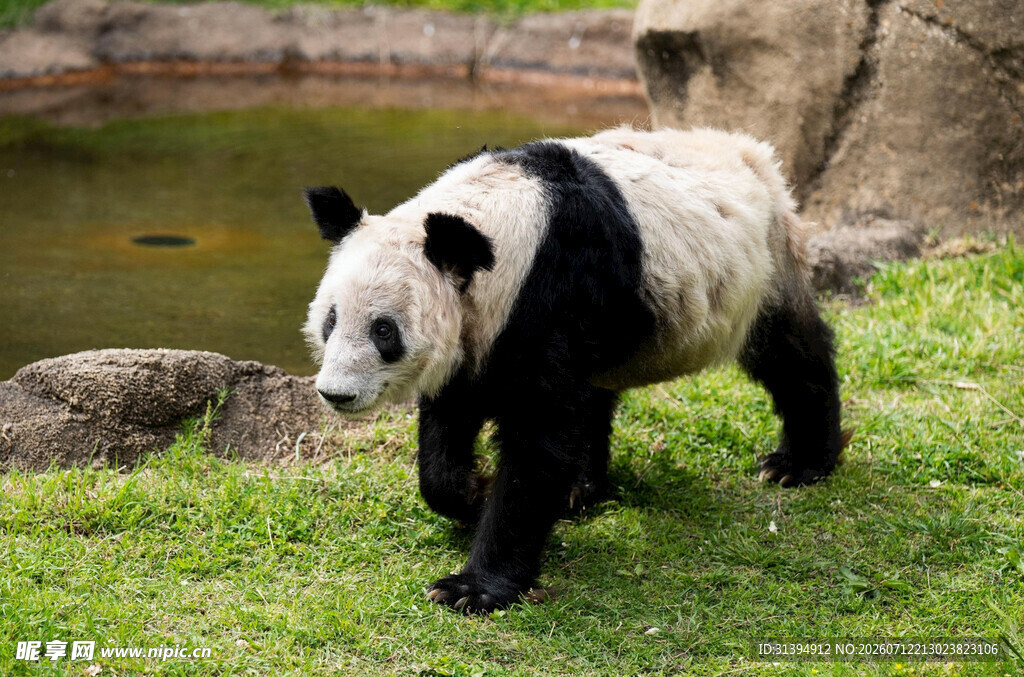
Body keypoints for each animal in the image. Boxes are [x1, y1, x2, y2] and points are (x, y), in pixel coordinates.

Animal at [302, 127, 844, 614]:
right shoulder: (480, 330)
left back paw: (799, 463)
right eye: (331, 319)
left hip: (764, 264)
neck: (501, 220)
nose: (336, 394)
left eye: (383, 331)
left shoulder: (550, 291)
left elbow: (537, 441)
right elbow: (450, 422)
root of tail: (754, 150)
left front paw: (472, 587)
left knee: (790, 352)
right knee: (591, 394)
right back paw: (580, 489)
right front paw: (471, 493)